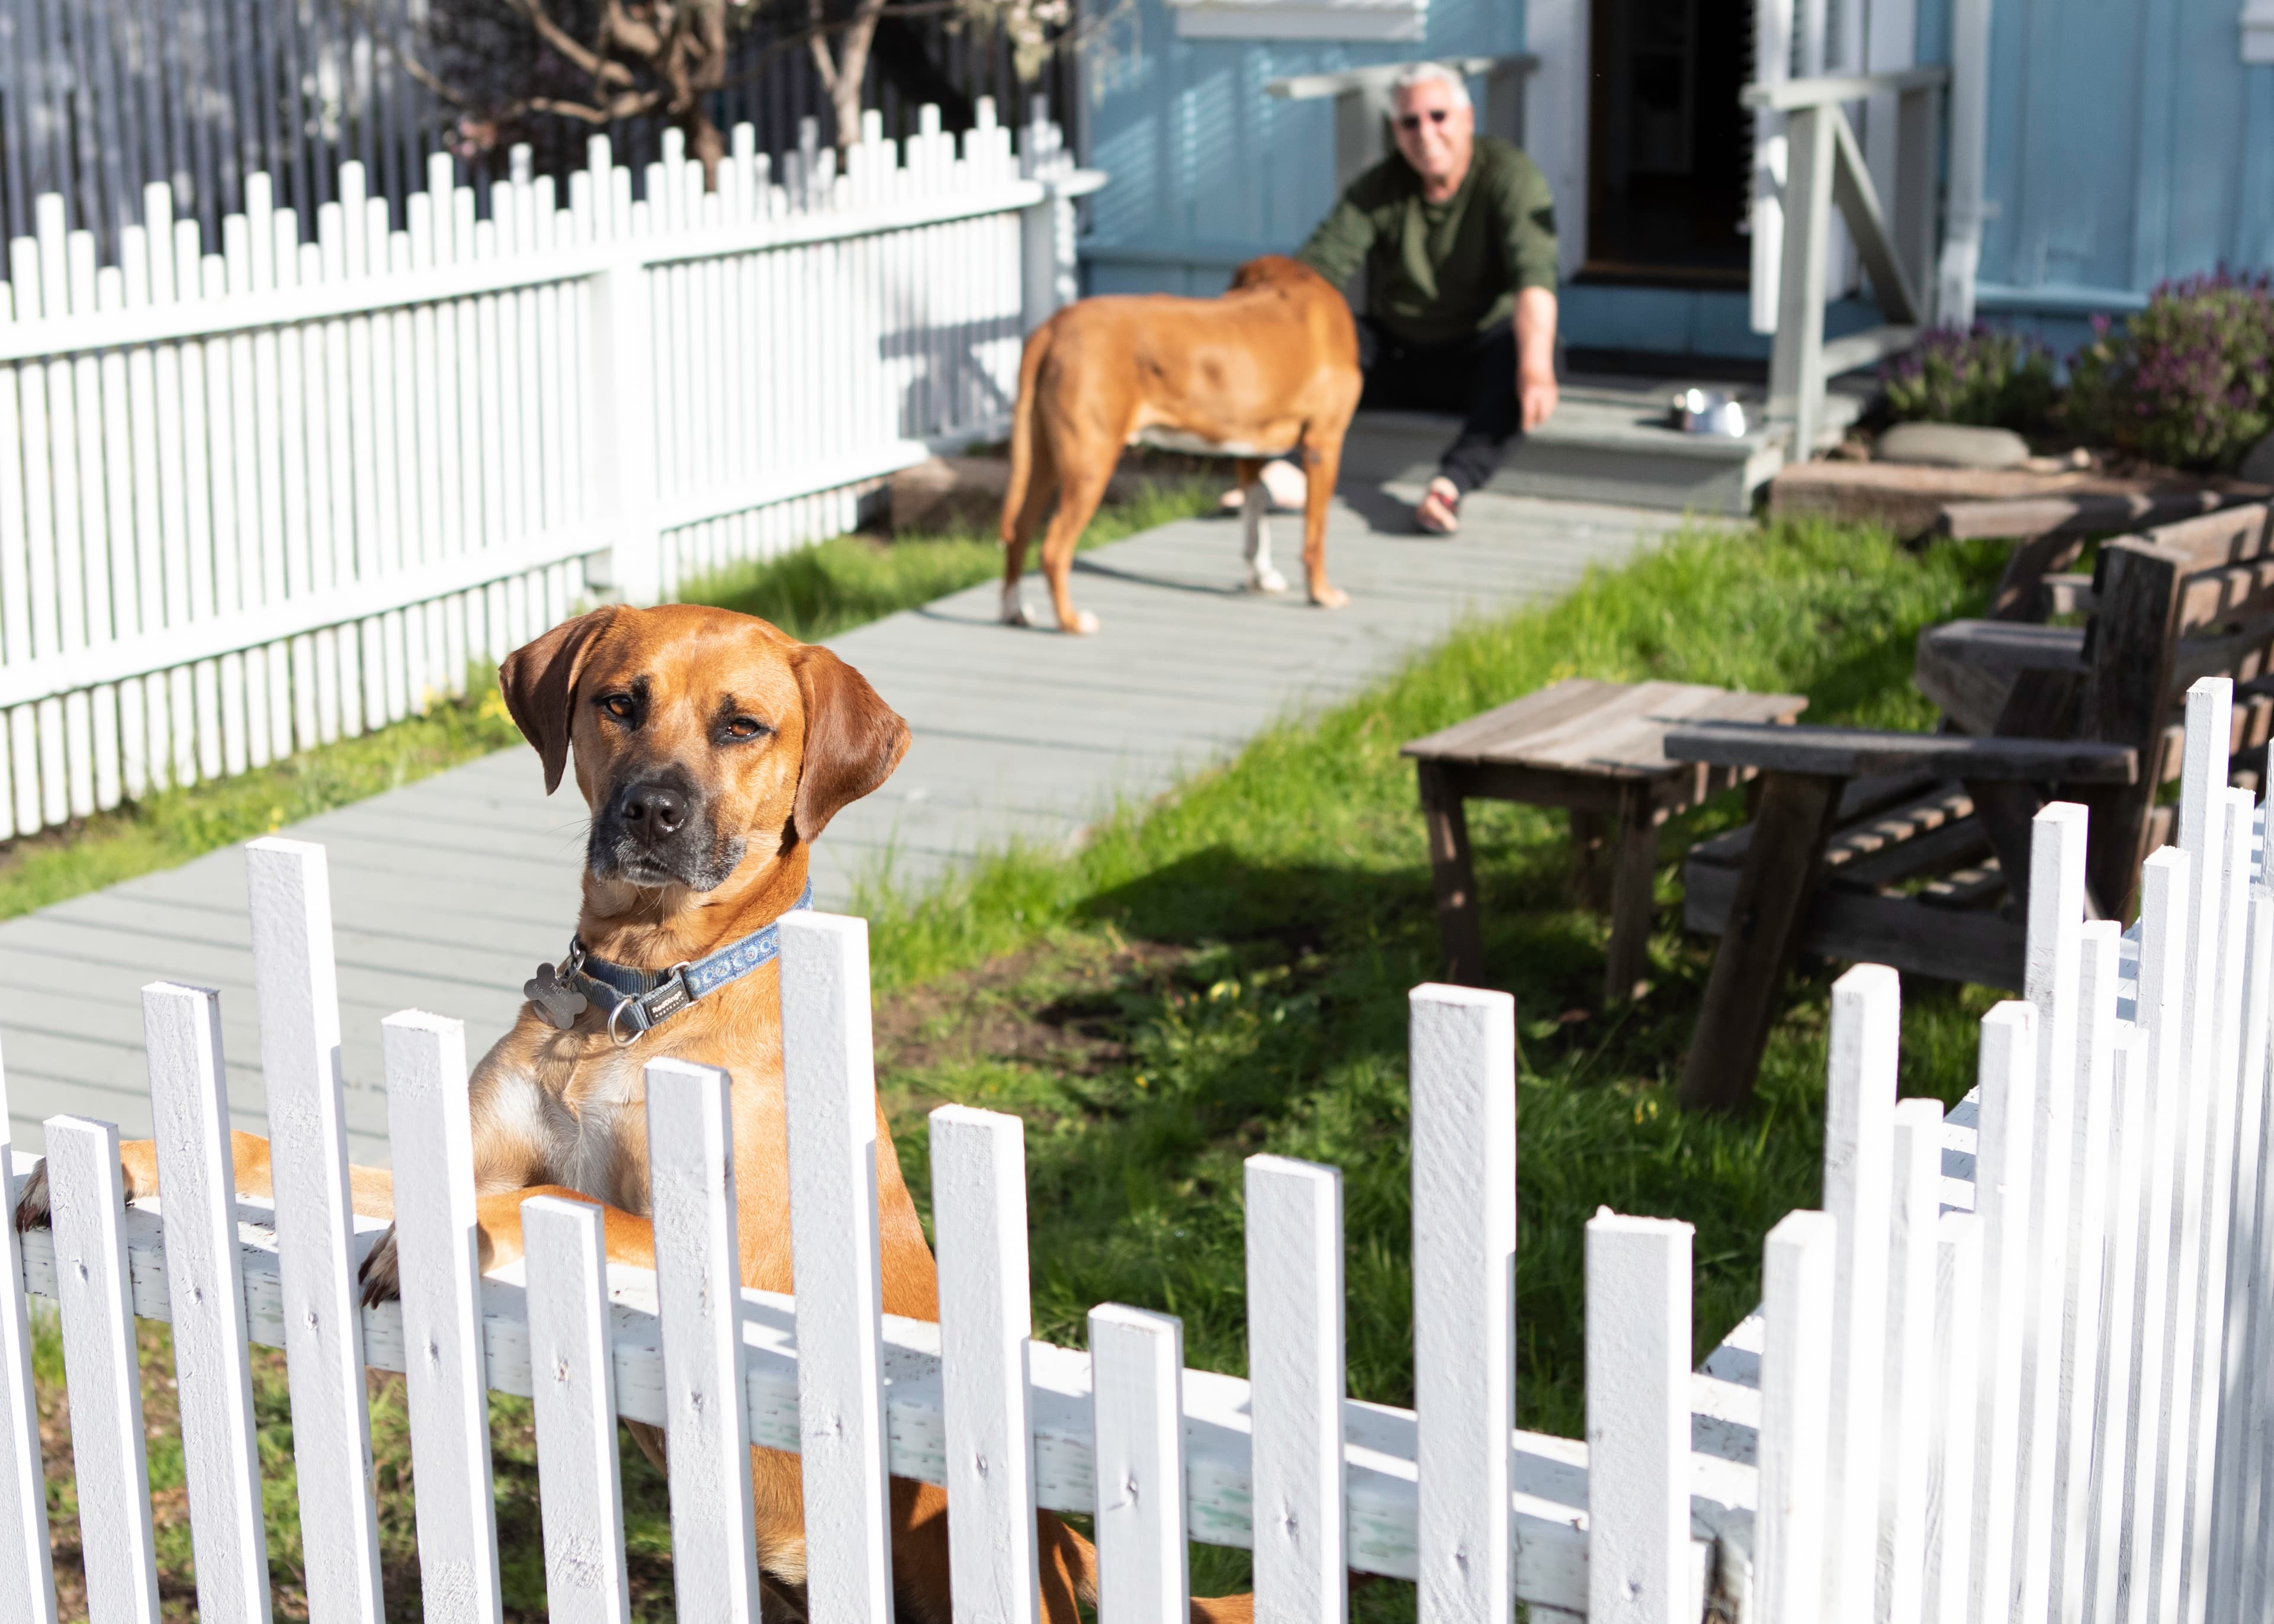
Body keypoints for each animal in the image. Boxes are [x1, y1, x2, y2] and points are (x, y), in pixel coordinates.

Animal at [22, 600, 1264, 1619]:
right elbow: (292, 1152)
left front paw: (443, 1238)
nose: (652, 810)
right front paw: (137, 1155)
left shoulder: (712, 1248)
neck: (631, 995)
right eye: (620, 701)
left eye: (744, 726)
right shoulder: (467, 1141)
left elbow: (552, 1199)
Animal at [1005, 252, 1355, 632]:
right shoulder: (1324, 443)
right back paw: (1071, 622)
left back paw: (1015, 610)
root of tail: (1056, 325)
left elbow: (1256, 514)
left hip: (1043, 462)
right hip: (1089, 465)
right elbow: (1316, 533)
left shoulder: (1251, 449)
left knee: (1019, 531)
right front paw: (1321, 594)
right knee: (1054, 549)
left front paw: (1262, 578)